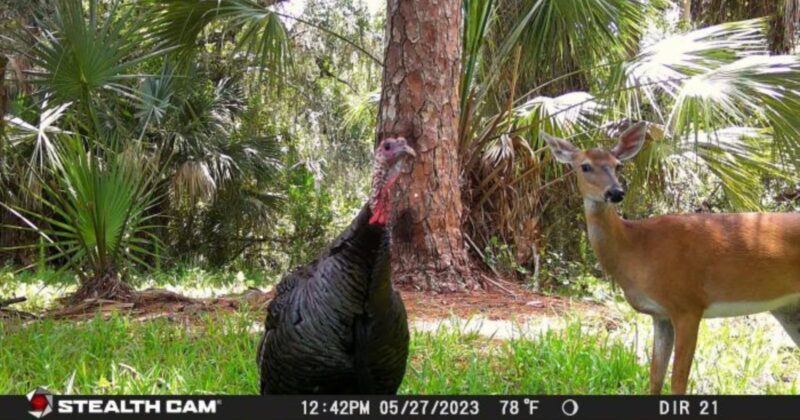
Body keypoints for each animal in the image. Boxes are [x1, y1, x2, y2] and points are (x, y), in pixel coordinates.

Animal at [542, 122, 800, 394]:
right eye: (585, 166)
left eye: (618, 165)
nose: (615, 192)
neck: (636, 250)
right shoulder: (660, 314)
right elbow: (655, 377)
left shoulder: (688, 304)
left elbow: (678, 382)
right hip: (787, 308)